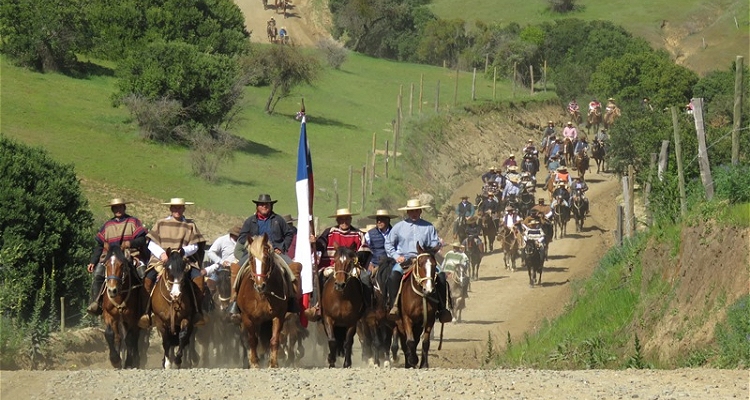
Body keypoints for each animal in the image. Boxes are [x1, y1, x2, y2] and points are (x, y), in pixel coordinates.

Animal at [235, 234, 296, 368]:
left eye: (267, 258)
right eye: (251, 258)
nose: (260, 285)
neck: (262, 296)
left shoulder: (278, 316)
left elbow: (274, 339)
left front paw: (273, 363)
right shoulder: (247, 317)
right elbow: (252, 340)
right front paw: (254, 363)